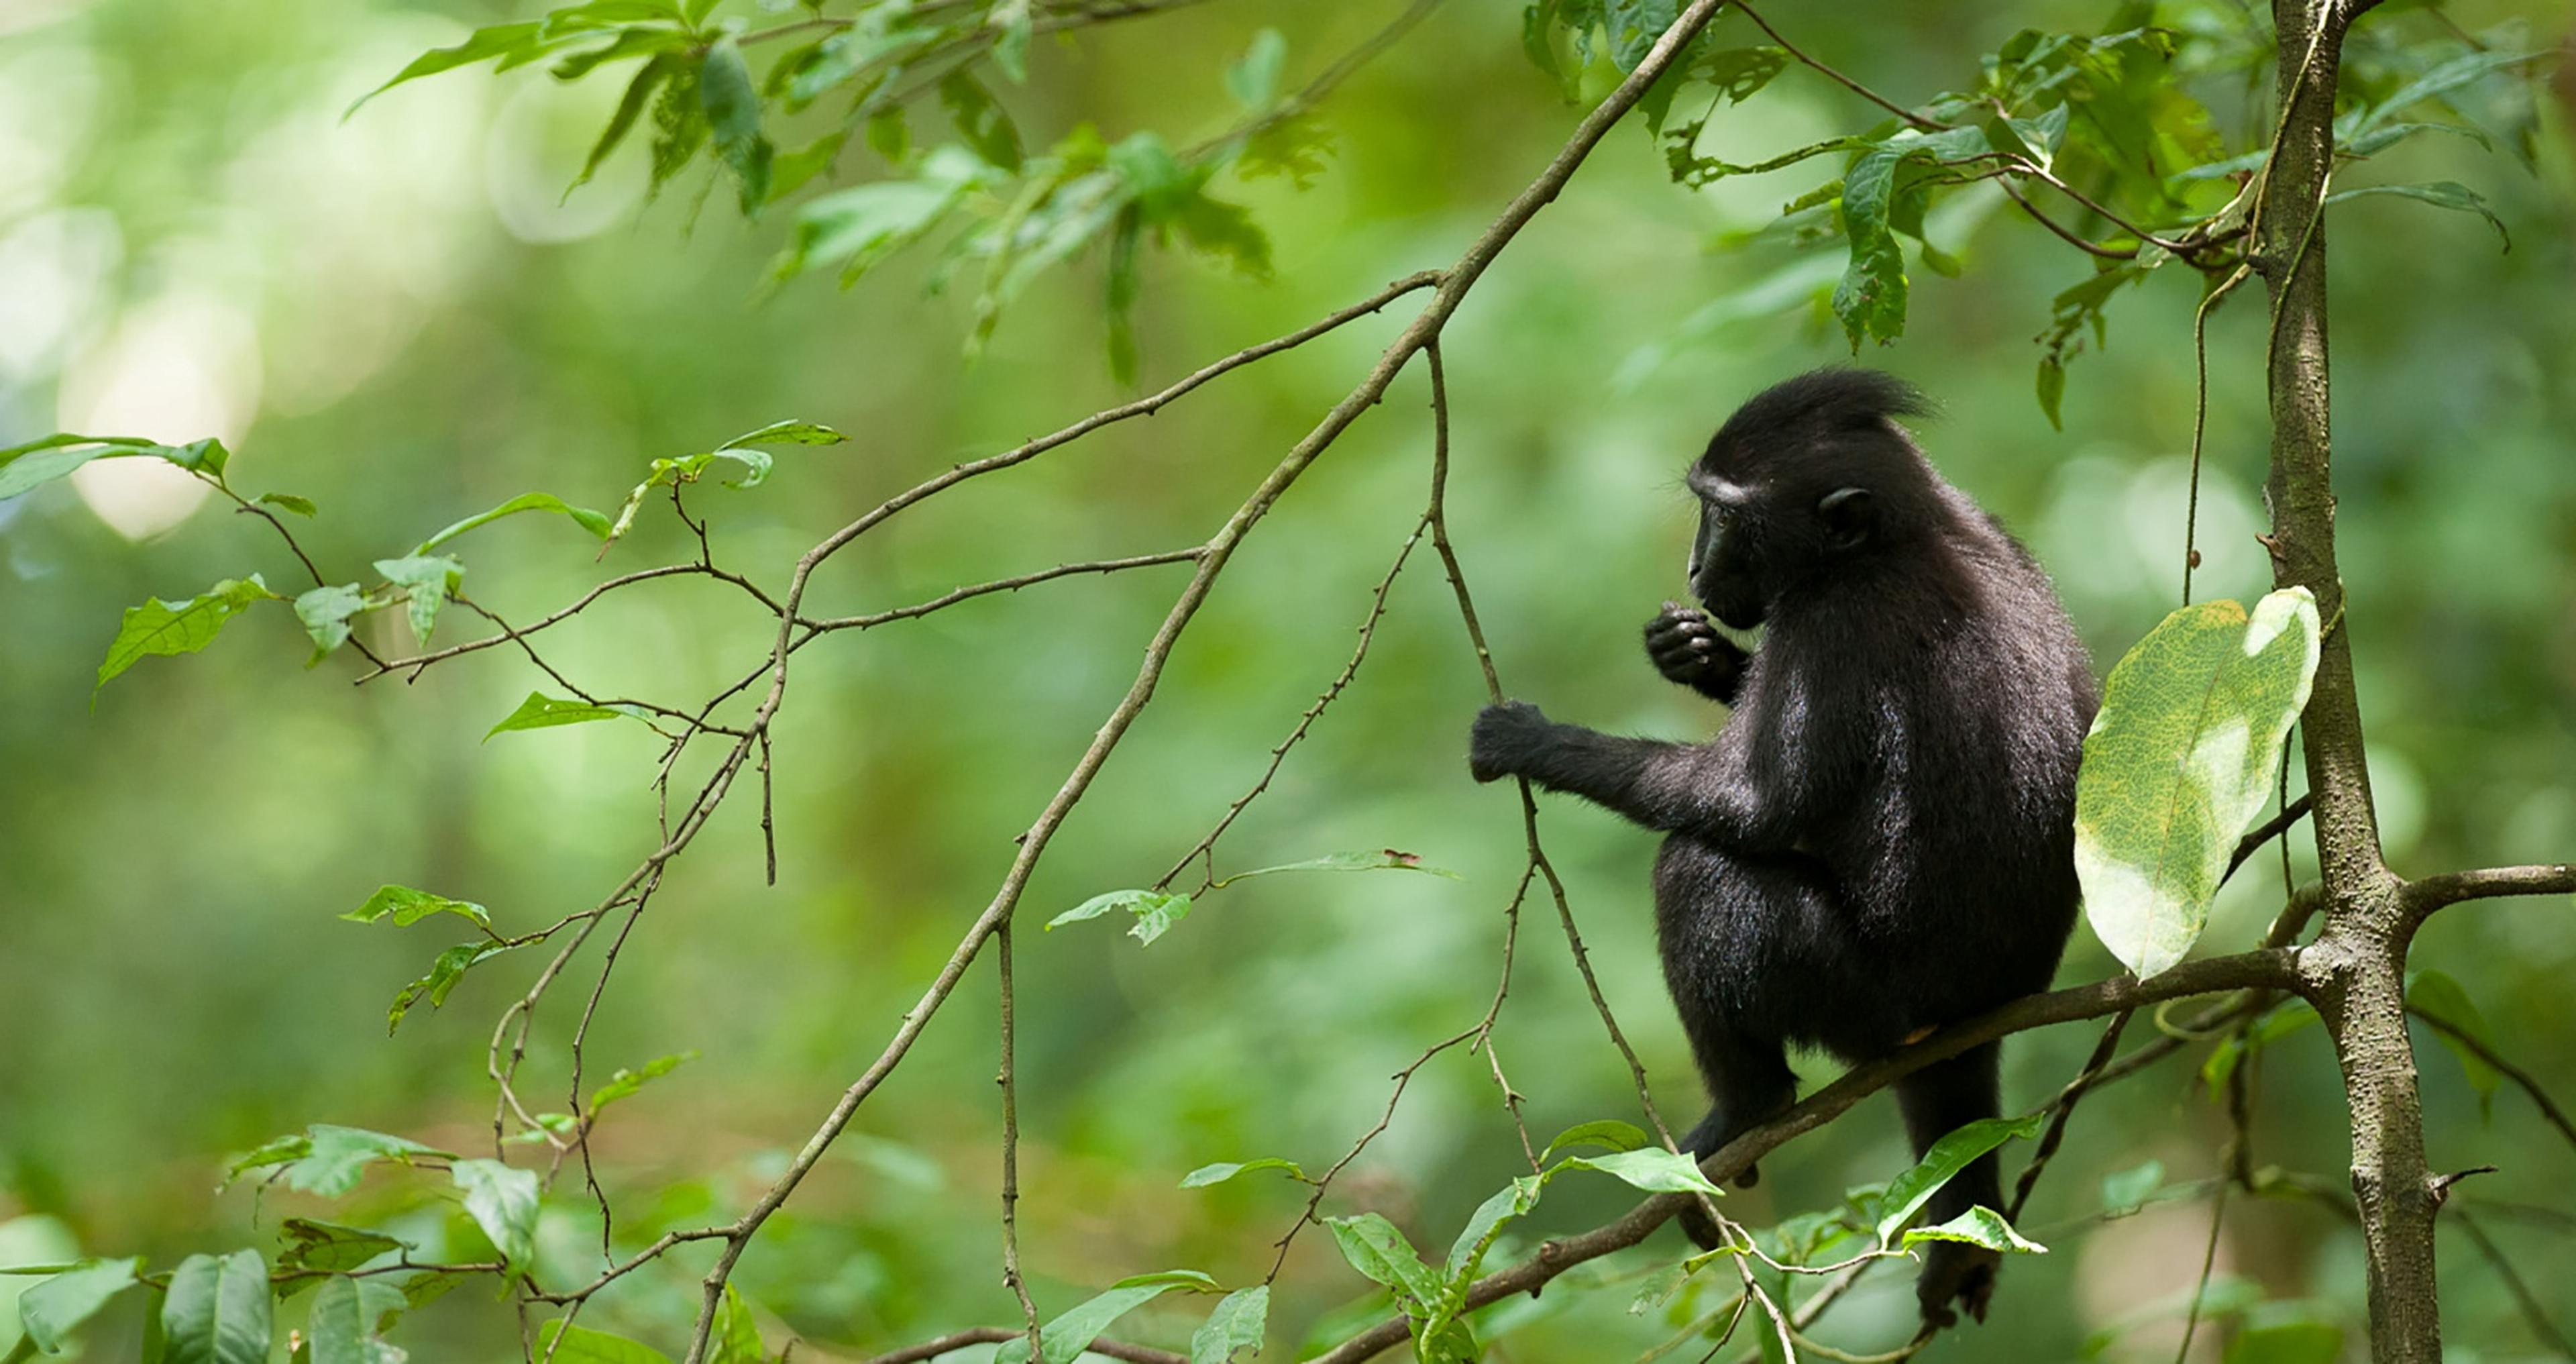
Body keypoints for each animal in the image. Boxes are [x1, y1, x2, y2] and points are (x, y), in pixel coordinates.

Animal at [1466, 369, 2096, 1325]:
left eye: (1723, 514)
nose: (1694, 569)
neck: (1906, 534)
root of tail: (1984, 1014)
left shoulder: (1833, 624)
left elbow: (1751, 803)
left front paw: (1531, 741)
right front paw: (1696, 655)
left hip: (1867, 1001)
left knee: (1700, 870)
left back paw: (1741, 1114)